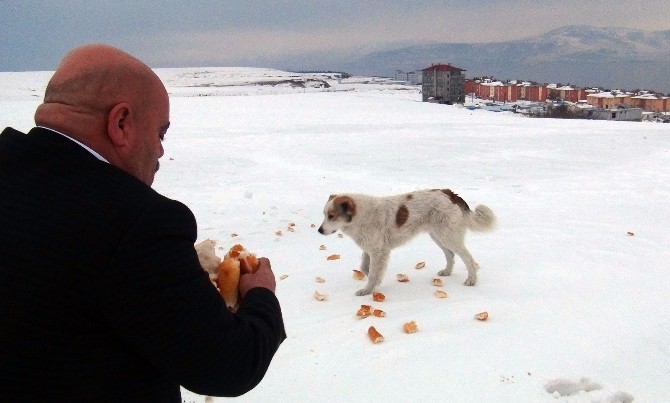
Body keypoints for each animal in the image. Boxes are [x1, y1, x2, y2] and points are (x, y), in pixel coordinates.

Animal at [318, 189, 496, 296]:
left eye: (332, 216)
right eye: (325, 215)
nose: (319, 230)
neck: (362, 216)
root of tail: (448, 193)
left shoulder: (378, 252)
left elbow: (373, 272)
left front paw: (367, 290)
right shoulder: (370, 250)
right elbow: (365, 268)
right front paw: (376, 282)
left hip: (448, 237)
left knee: (468, 258)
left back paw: (472, 280)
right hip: (438, 236)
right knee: (450, 255)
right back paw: (447, 271)